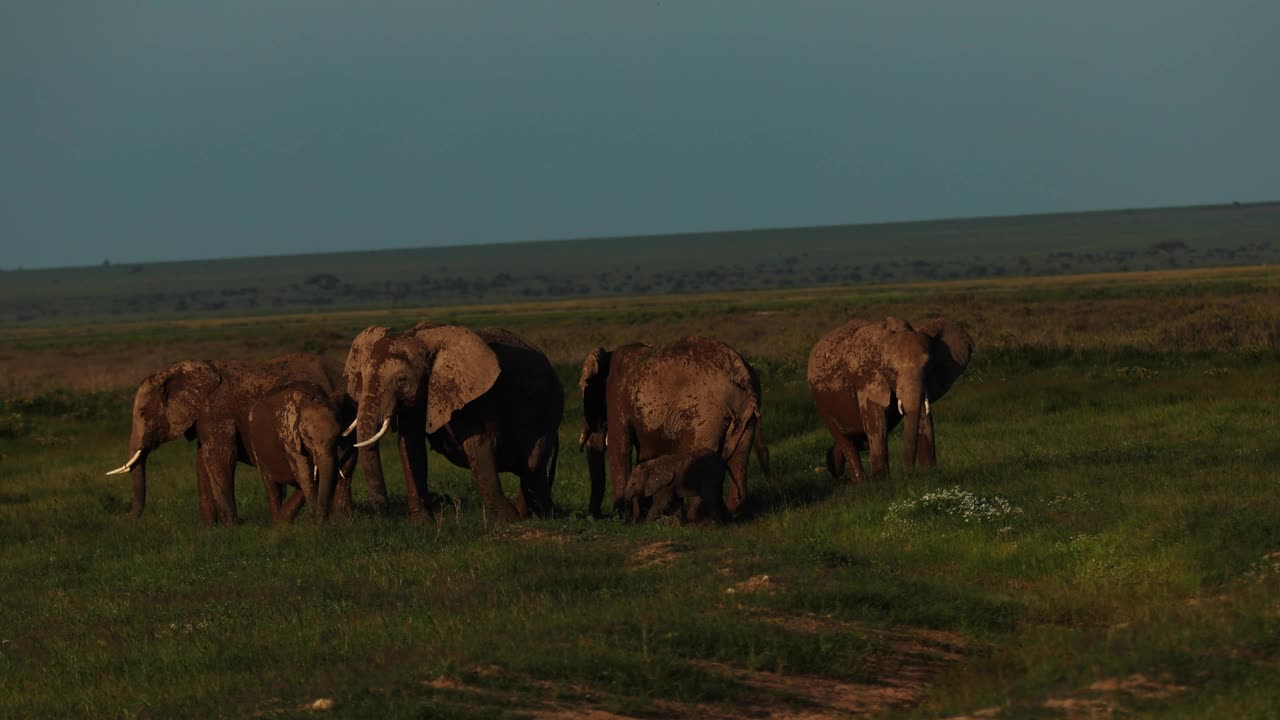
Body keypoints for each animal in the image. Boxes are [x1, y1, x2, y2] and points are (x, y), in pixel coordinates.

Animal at [241, 381, 353, 520]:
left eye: (338, 437)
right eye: (308, 437)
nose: (324, 520)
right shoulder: (288, 437)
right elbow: (304, 475)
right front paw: (316, 521)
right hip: (256, 447)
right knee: (272, 488)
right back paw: (277, 522)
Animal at [345, 320, 560, 520]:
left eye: (401, 380)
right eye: (361, 377)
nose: (385, 514)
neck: (420, 340)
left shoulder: (474, 397)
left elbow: (478, 448)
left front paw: (510, 521)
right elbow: (411, 446)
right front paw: (423, 524)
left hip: (548, 411)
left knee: (532, 466)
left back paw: (541, 517)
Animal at [578, 333, 768, 517]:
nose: (597, 515)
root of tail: (742, 371)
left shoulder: (616, 397)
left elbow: (619, 448)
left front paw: (623, 515)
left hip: (706, 416)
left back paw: (693, 519)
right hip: (745, 417)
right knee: (739, 457)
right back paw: (734, 513)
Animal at [803, 315, 972, 479]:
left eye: (929, 366)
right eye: (891, 370)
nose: (908, 473)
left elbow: (924, 420)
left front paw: (929, 473)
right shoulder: (866, 380)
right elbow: (877, 425)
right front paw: (881, 481)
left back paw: (834, 466)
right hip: (821, 403)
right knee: (846, 442)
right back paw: (860, 482)